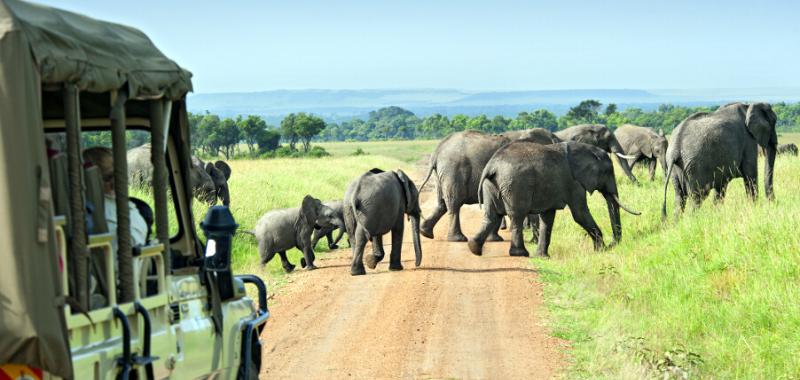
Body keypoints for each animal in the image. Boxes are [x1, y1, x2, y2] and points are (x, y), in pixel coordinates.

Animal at [466, 140, 640, 258]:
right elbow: (580, 213)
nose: (612, 245)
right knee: (516, 216)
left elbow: (548, 217)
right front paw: (600, 251)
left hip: (491, 185)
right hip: (515, 185)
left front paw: (542, 257)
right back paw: (520, 254)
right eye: (608, 172)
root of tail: (492, 166)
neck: (587, 150)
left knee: (491, 215)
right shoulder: (574, 183)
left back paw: (473, 248)